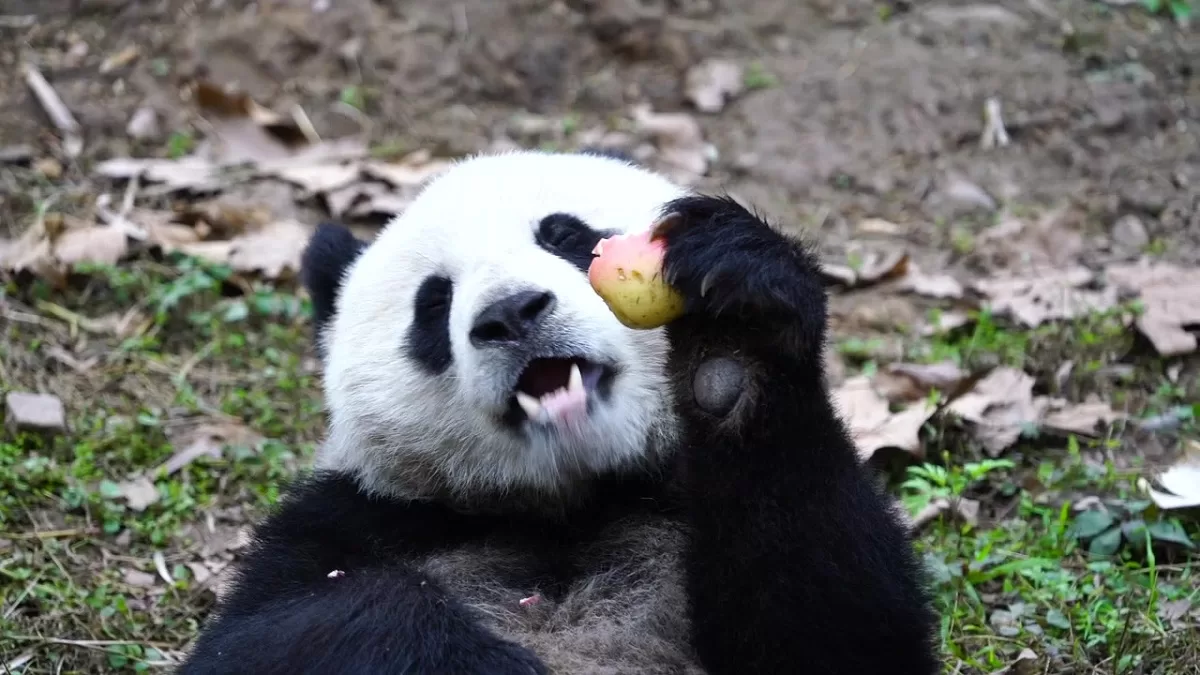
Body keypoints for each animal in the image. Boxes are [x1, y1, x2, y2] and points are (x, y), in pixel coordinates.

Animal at [179, 149, 940, 675]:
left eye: (565, 235)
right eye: (433, 302)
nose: (512, 314)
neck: (571, 501)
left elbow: (843, 629)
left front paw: (736, 337)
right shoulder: (353, 522)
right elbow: (271, 638)